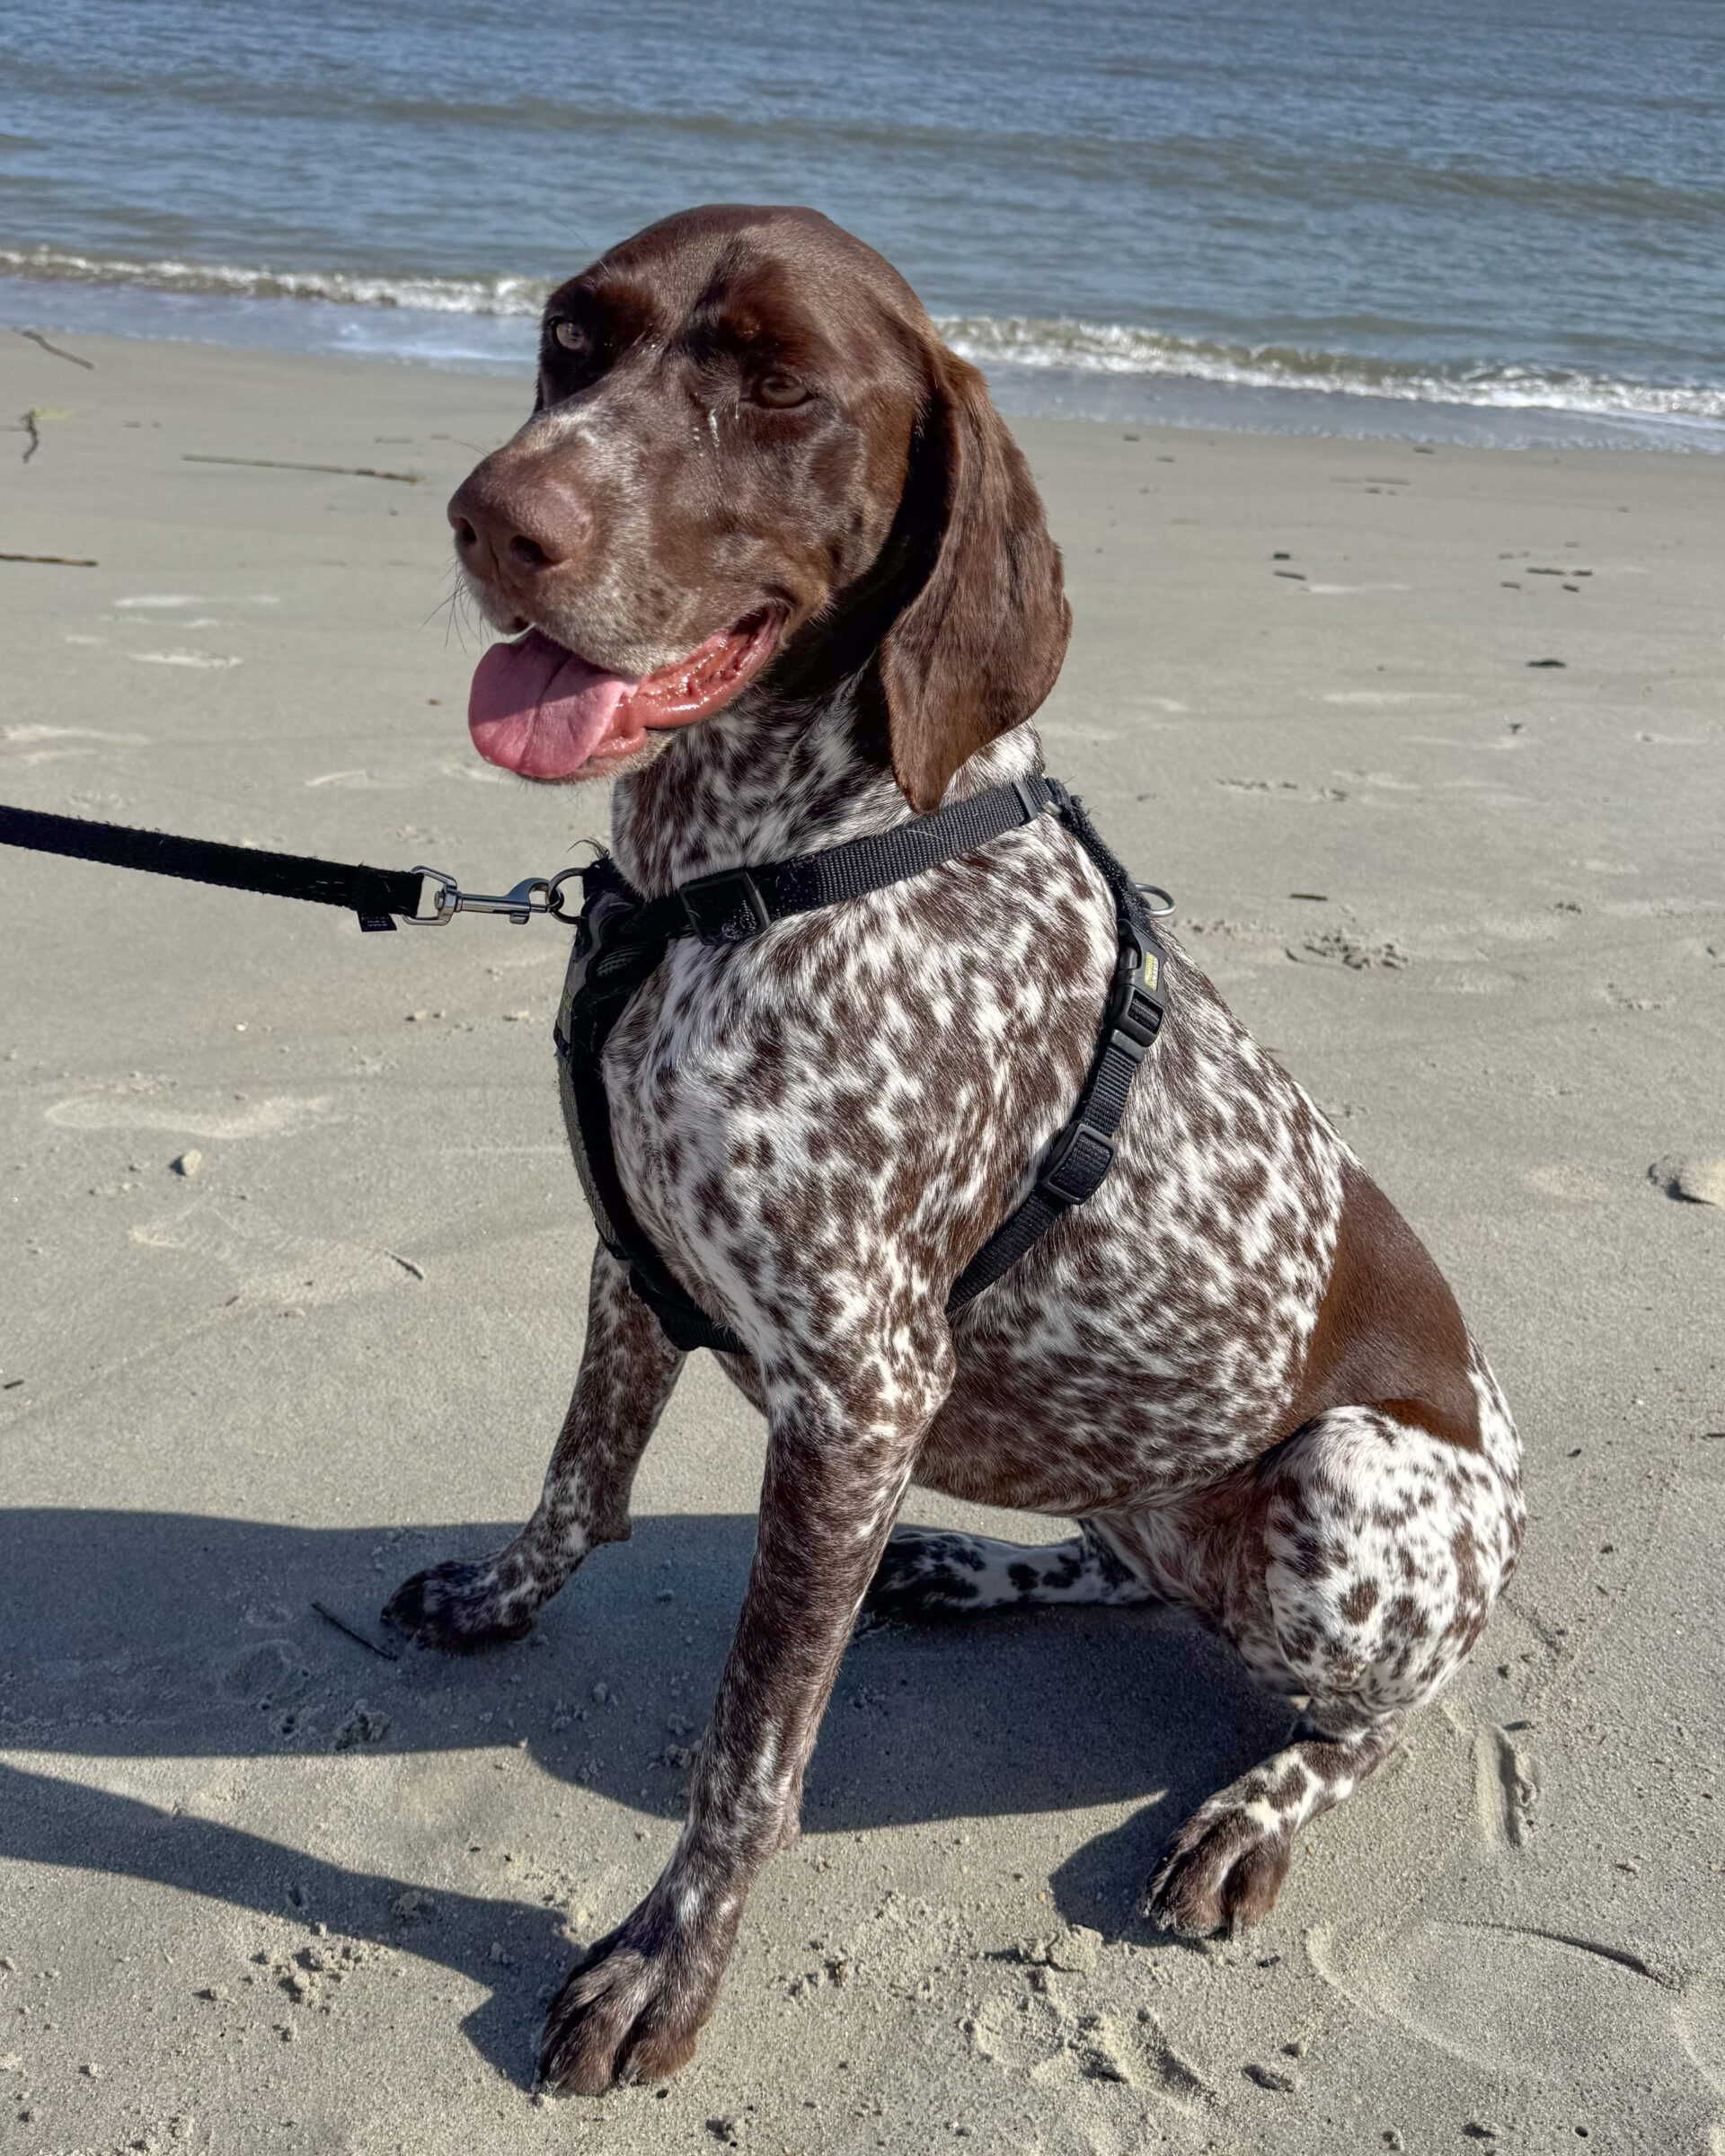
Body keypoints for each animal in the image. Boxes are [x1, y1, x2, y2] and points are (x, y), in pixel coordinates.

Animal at [381, 202, 1526, 2087]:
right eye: (570, 338)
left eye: (784, 387)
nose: (498, 516)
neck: (731, 878)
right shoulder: (637, 1260)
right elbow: (575, 1487)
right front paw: (497, 1597)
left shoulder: (862, 1391)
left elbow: (750, 1757)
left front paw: (666, 1970)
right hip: (1154, 1481)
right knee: (1129, 1566)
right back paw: (983, 1568)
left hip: (1348, 1483)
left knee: (1388, 1714)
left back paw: (1254, 1810)